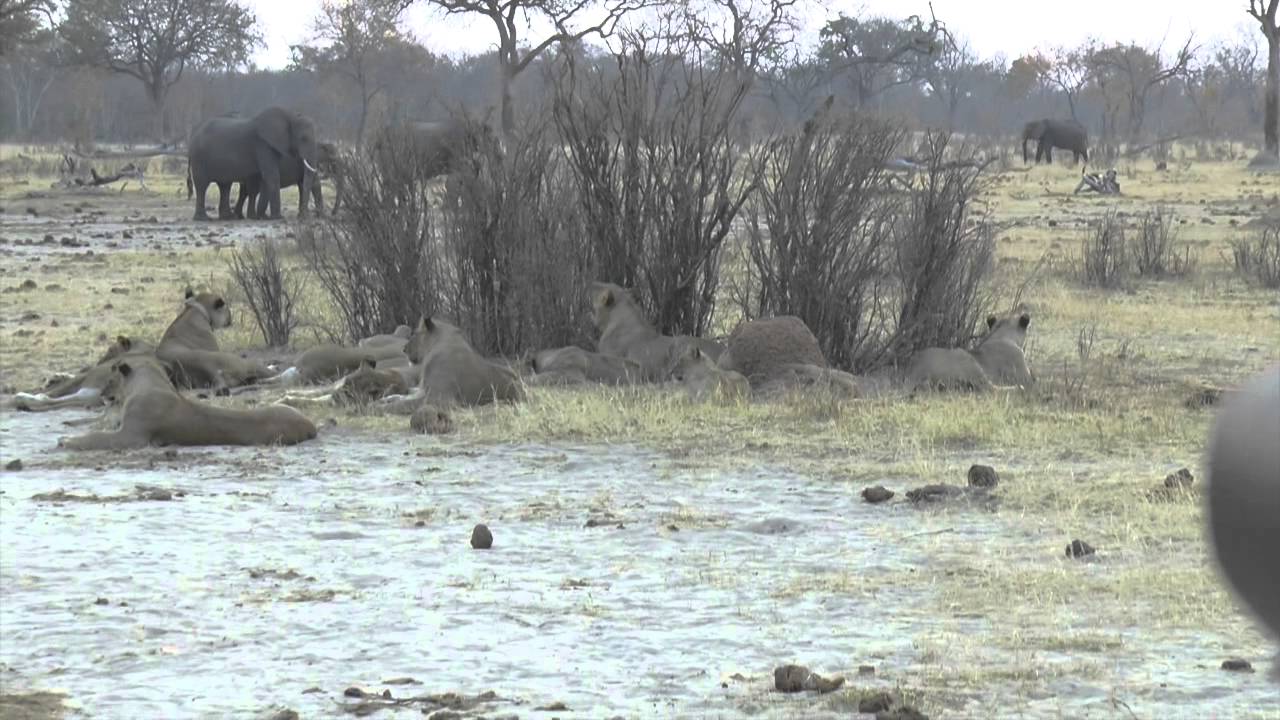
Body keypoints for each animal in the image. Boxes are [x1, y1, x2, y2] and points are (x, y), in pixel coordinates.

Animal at [59, 358, 317, 450]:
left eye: (111, 378)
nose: (102, 394)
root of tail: (311, 424)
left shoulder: (131, 437)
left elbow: (95, 438)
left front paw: (66, 440)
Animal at [905, 313, 1034, 393]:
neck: (999, 334)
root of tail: (914, 370)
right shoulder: (1023, 373)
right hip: (967, 359)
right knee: (990, 388)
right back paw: (1017, 388)